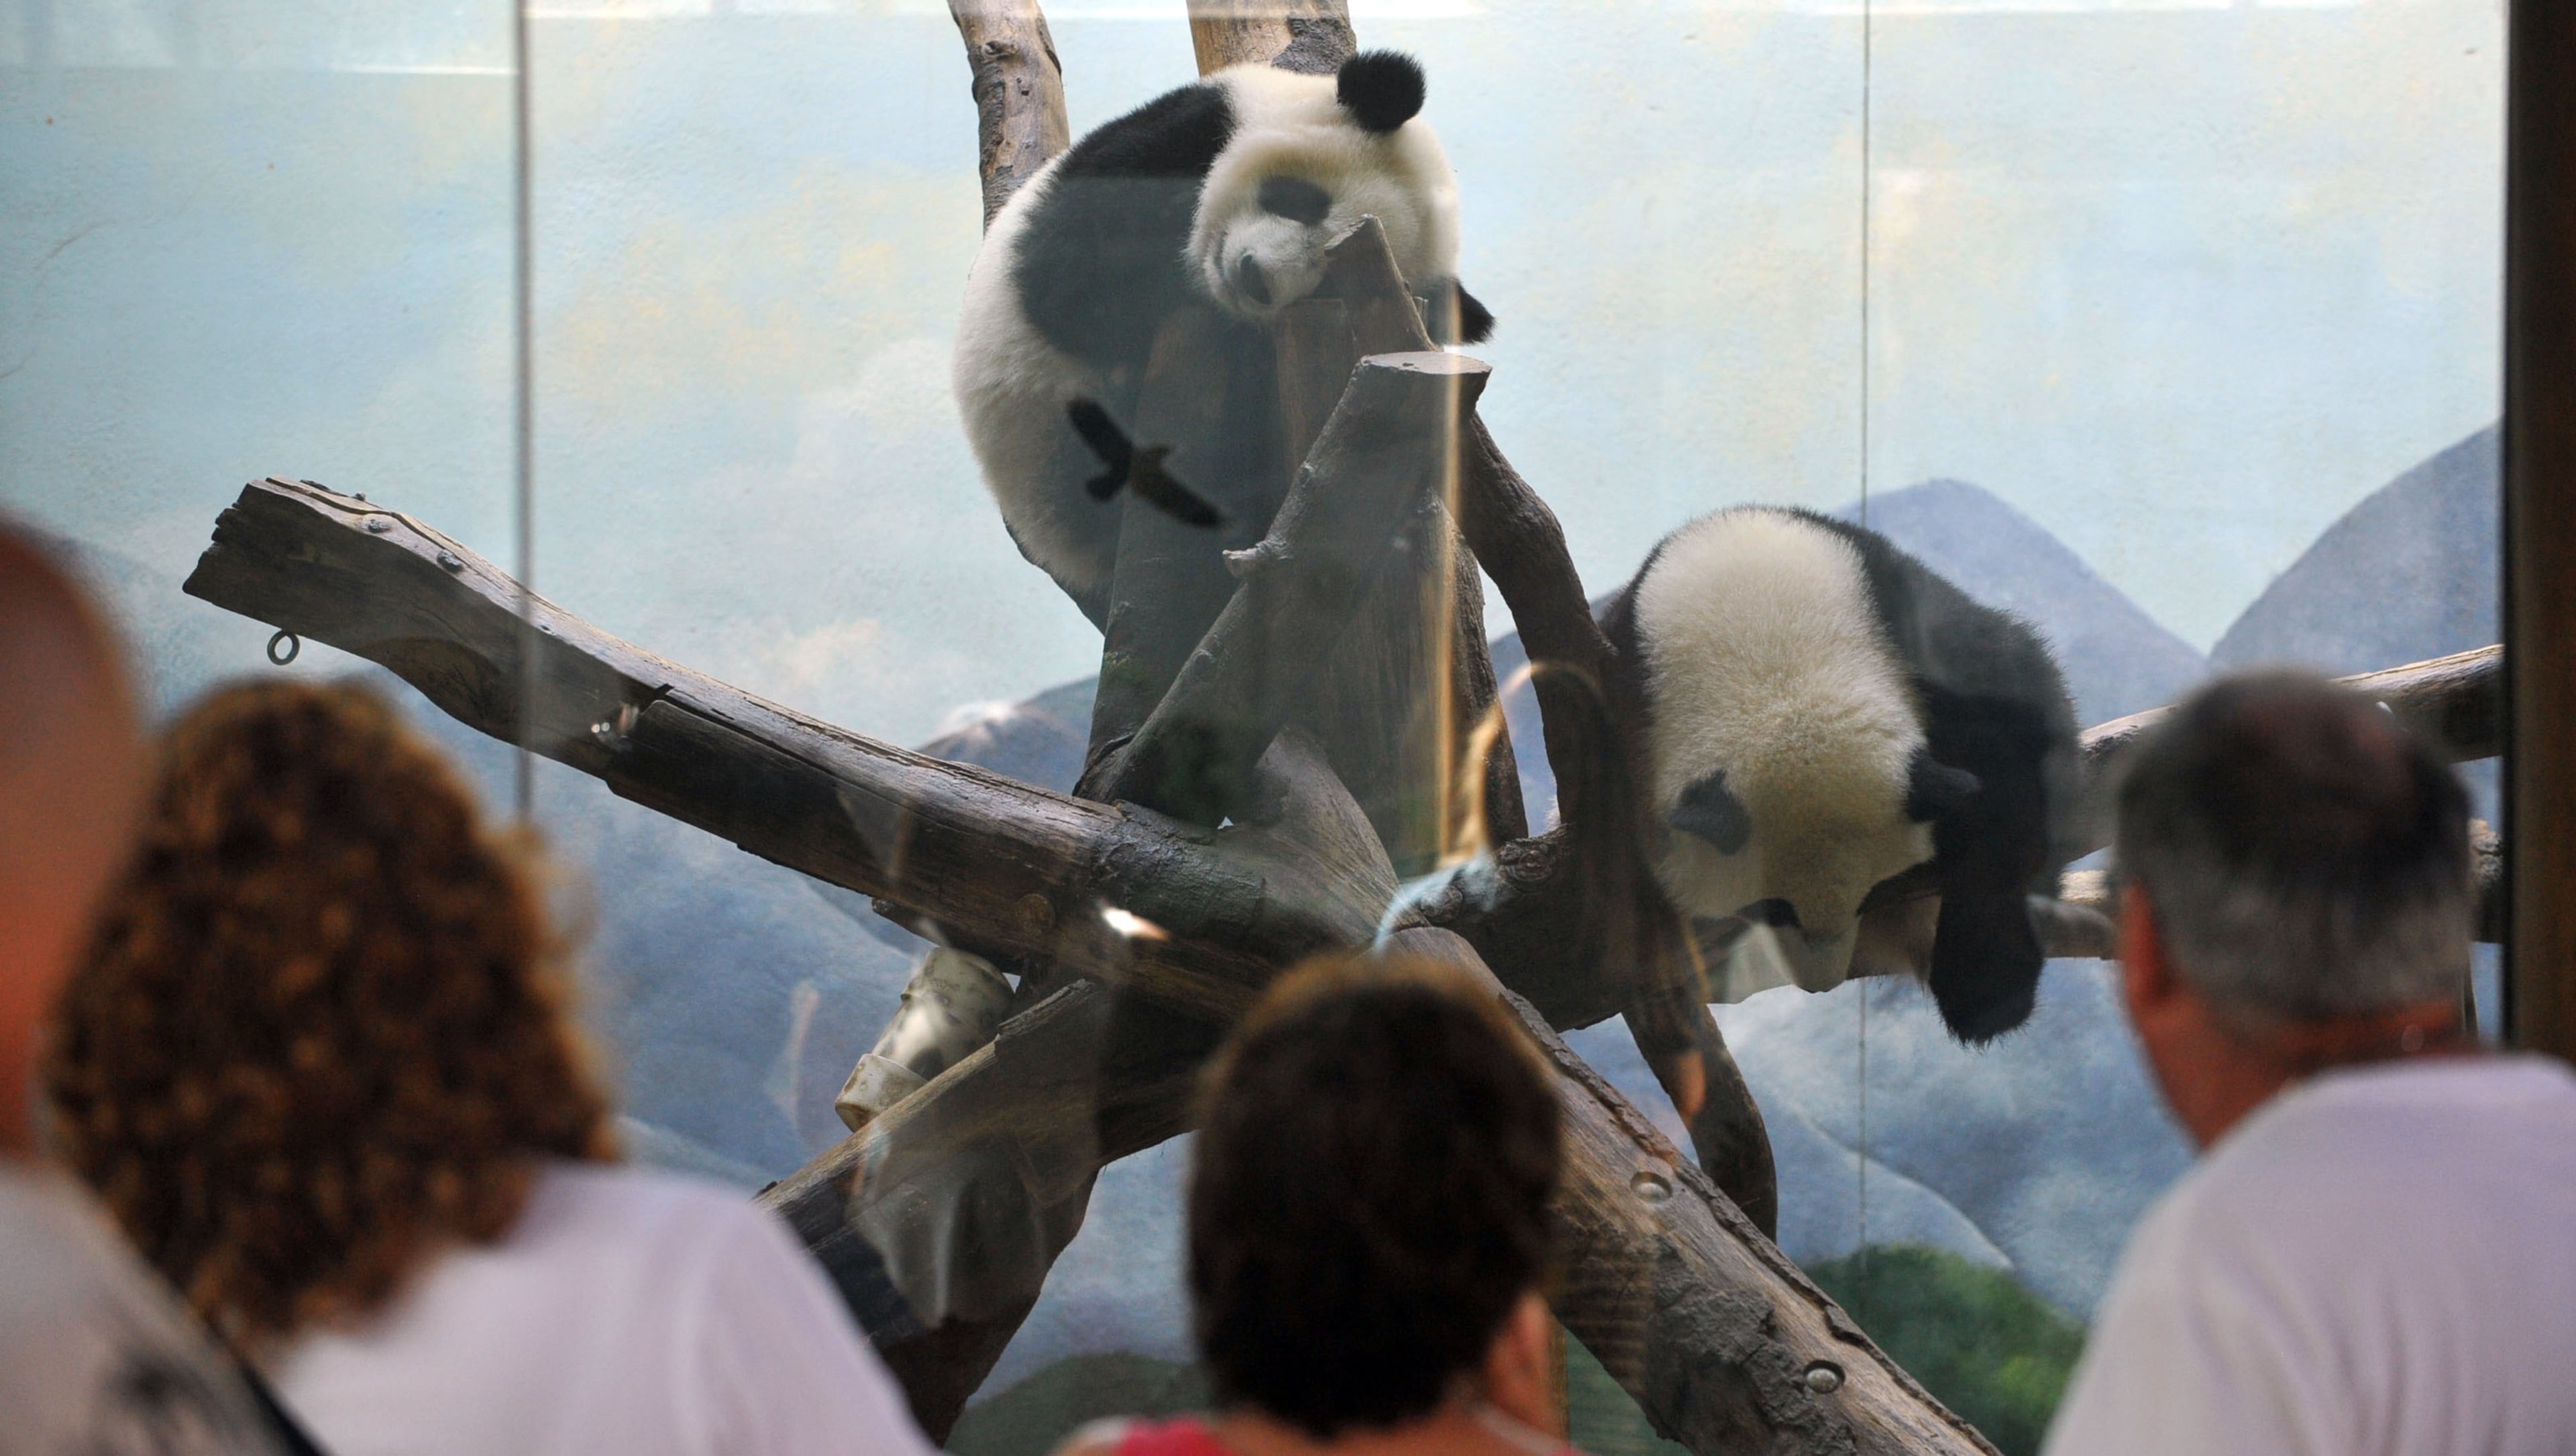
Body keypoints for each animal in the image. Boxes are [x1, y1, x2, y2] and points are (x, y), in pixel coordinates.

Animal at [1597, 506, 2083, 1044]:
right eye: (1772, 908)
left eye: (1873, 893)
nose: (1819, 984)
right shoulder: (1627, 697)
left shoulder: (1911, 626)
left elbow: (2021, 730)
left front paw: (1986, 984)